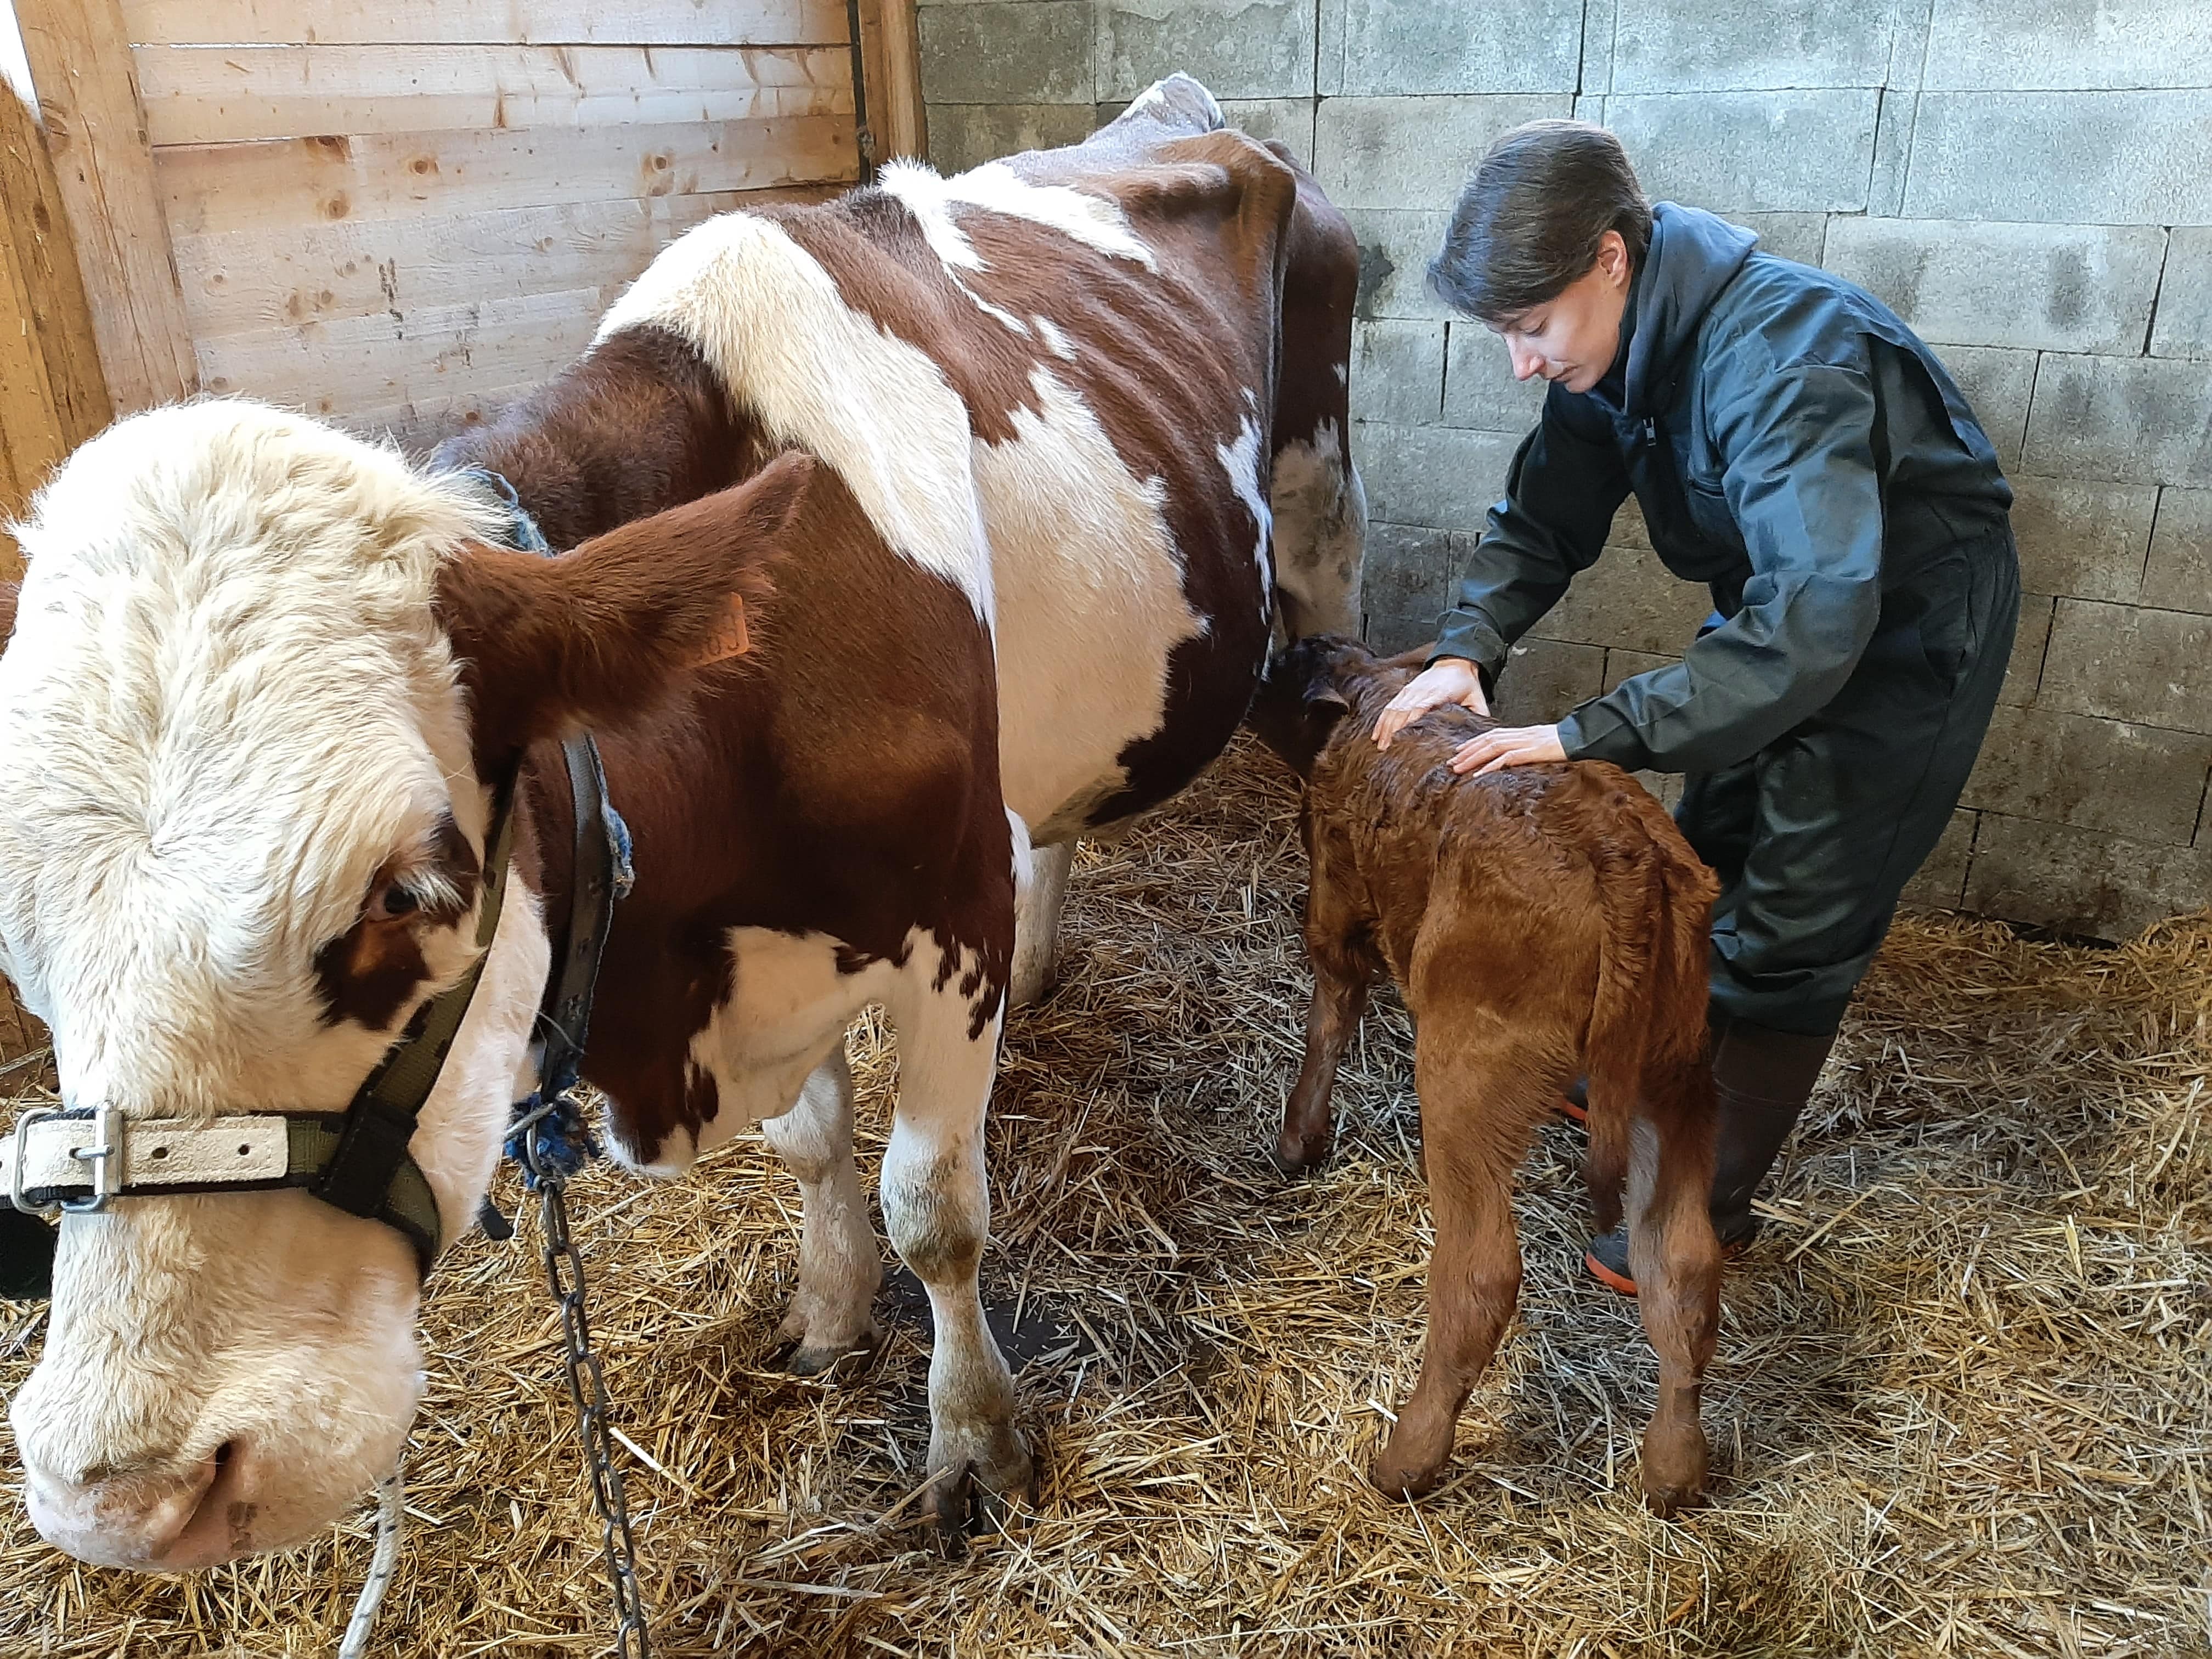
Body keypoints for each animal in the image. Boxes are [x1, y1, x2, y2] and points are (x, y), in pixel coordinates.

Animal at [0, 78, 1362, 1575]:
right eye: (18, 948)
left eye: (408, 891)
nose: (124, 1497)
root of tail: (1183, 111)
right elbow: (816, 1151)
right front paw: (829, 1311)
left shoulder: (954, 914)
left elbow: (935, 1210)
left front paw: (977, 1439)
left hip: (1319, 516)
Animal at [1248, 641, 1725, 1522]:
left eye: (1281, 667)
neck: (1381, 699)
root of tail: (1618, 847)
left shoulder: (1334, 890)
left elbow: (1332, 1007)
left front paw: (1300, 1140)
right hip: (1674, 1073)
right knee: (1681, 1265)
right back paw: (1674, 1470)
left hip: (1466, 1076)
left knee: (1482, 1274)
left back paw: (1405, 1459)